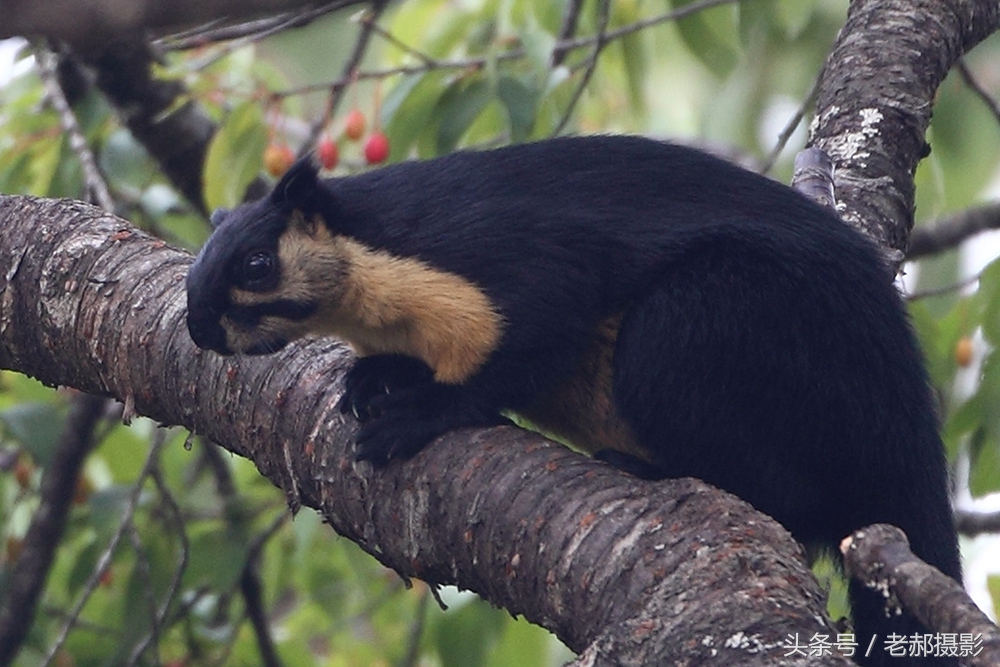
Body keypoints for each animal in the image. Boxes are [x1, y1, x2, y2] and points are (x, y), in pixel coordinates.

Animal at [186, 133, 960, 664]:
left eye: (257, 263)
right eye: (196, 265)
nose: (196, 326)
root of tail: (907, 429)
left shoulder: (506, 257)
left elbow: (536, 336)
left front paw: (418, 411)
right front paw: (371, 379)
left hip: (703, 323)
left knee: (797, 500)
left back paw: (648, 467)